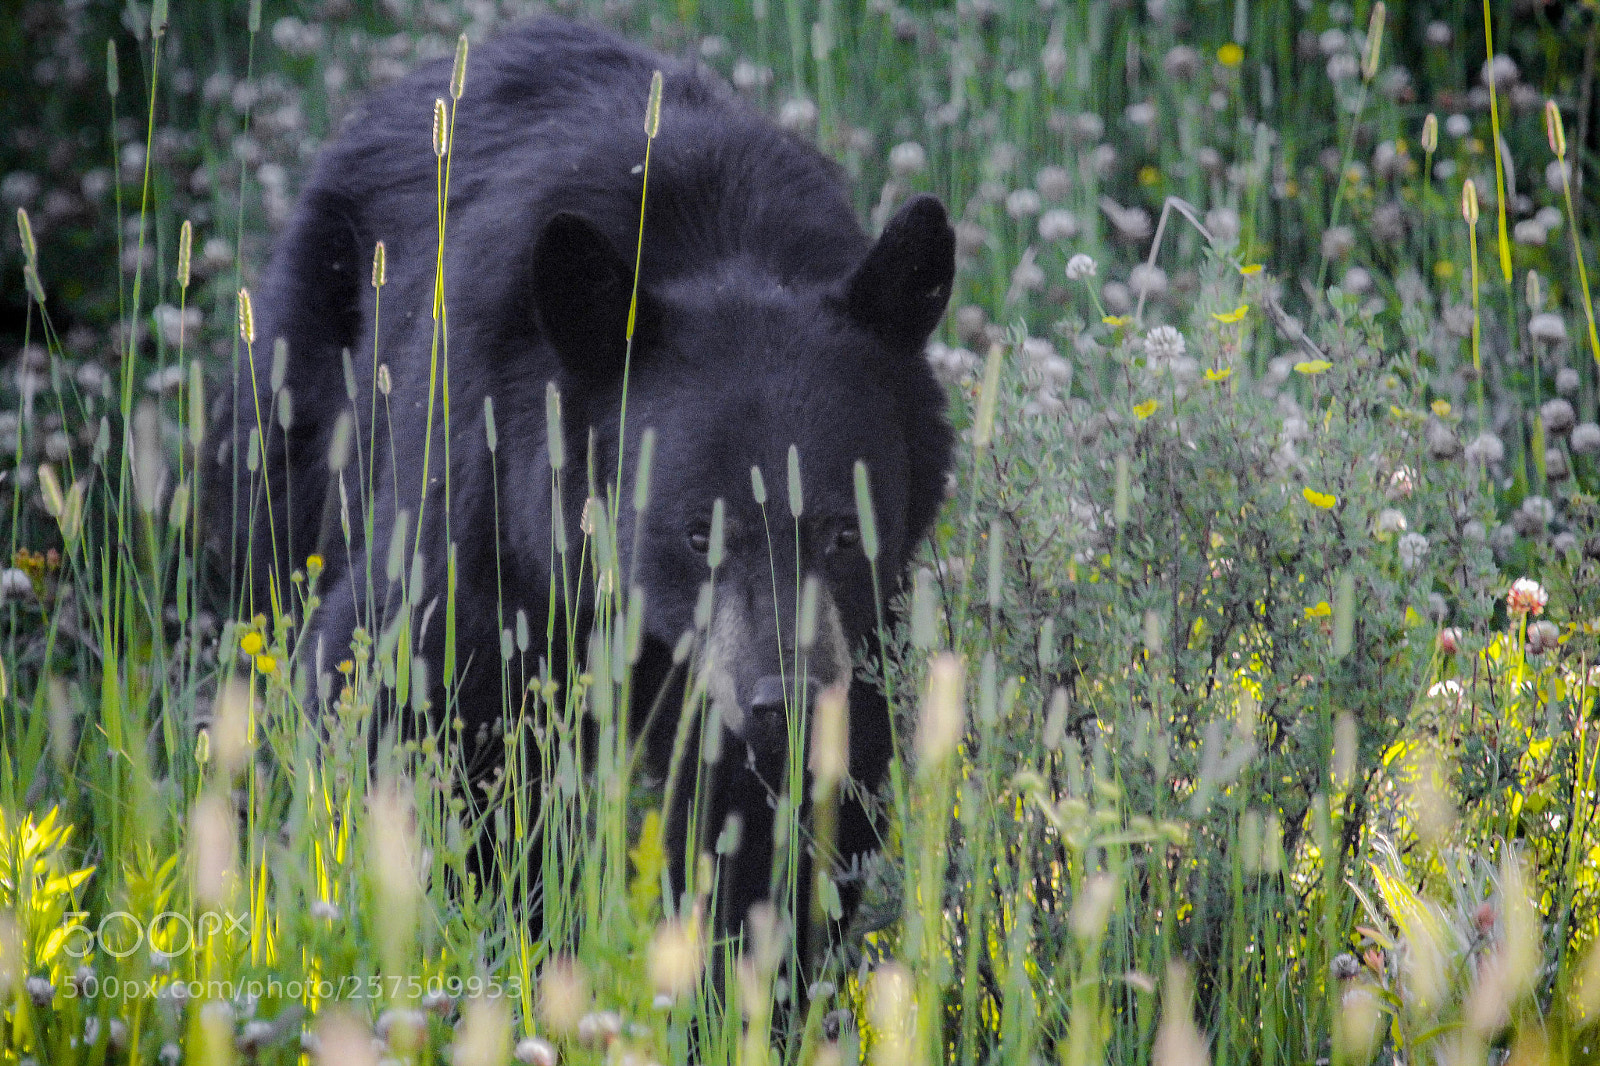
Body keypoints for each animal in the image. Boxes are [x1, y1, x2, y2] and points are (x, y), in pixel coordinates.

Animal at [216, 16, 955, 947]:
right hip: (304, 388)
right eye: (697, 532)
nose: (781, 701)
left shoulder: (855, 640)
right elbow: (397, 698)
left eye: (846, 529)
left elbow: (789, 819)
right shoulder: (481, 524)